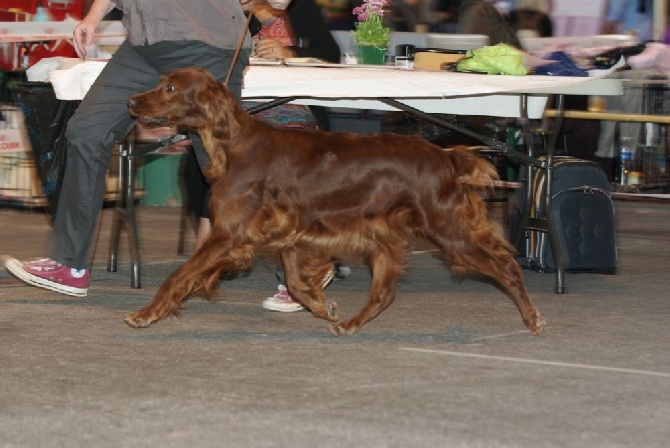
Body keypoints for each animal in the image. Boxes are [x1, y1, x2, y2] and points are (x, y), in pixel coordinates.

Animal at [124, 65, 544, 334]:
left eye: (170, 88)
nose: (131, 102)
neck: (233, 144)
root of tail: (446, 155)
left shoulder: (228, 234)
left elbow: (180, 275)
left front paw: (145, 314)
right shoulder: (292, 235)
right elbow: (296, 282)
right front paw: (322, 307)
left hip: (447, 231)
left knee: (506, 267)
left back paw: (533, 318)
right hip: (384, 238)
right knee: (385, 292)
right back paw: (352, 324)